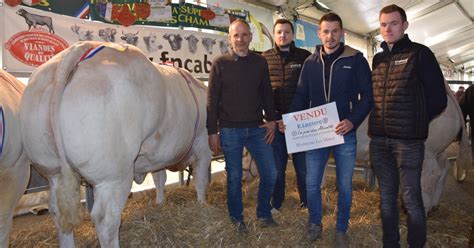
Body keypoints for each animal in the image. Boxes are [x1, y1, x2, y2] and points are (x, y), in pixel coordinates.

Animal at [20, 41, 211, 247]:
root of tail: (80, 48)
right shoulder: (203, 145)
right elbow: (200, 180)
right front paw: (202, 204)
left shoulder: (159, 156)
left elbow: (160, 179)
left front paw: (160, 203)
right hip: (113, 175)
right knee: (105, 219)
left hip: (52, 170)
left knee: (58, 212)